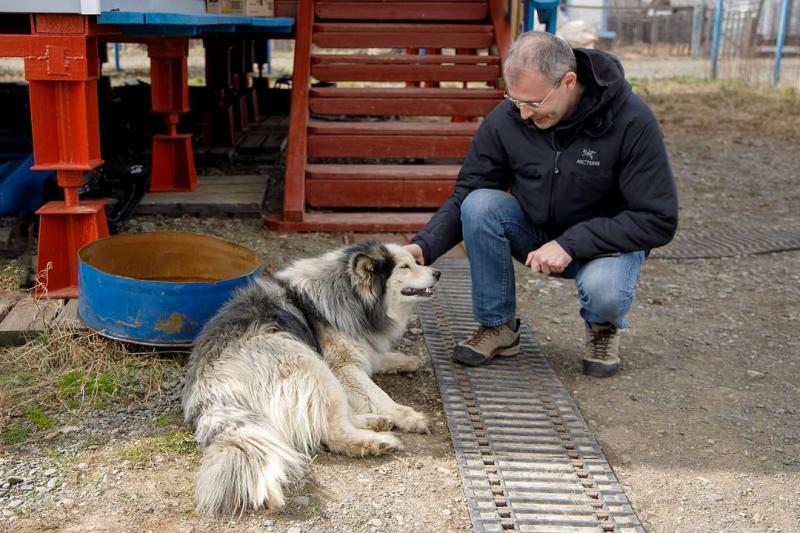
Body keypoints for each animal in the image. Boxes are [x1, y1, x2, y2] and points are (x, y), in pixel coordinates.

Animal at [181, 242, 440, 516]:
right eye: (405, 266)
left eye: (415, 261)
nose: (437, 273)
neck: (346, 291)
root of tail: (213, 394)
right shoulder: (343, 367)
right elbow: (379, 395)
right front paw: (409, 417)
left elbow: (378, 359)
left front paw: (406, 360)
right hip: (311, 365)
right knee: (333, 432)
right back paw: (377, 442)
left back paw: (375, 422)